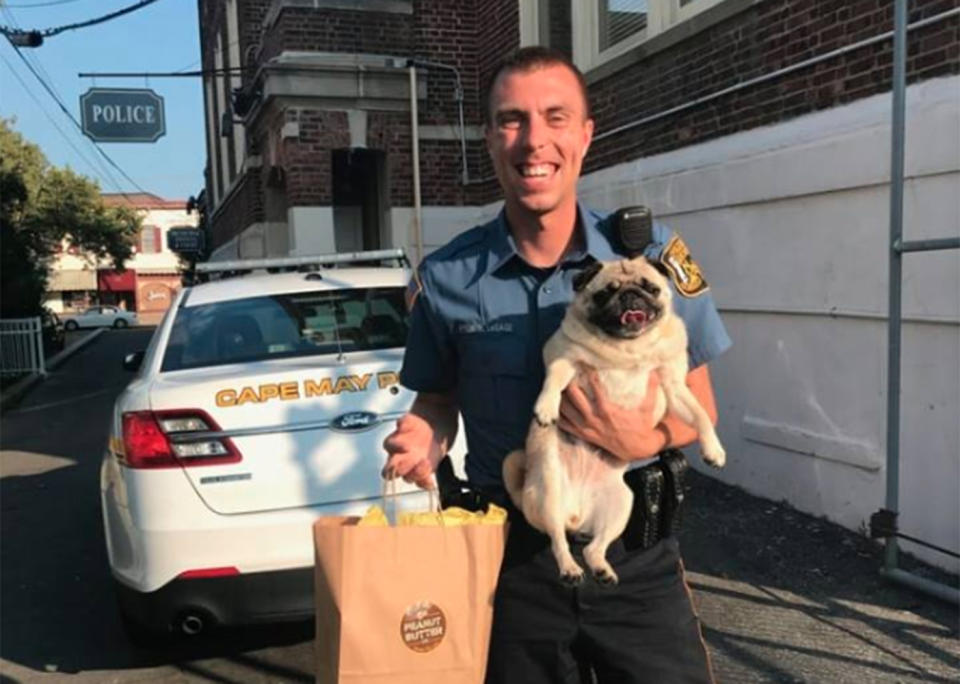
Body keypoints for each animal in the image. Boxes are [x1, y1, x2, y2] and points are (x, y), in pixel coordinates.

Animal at [502, 254, 720, 584]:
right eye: (605, 293)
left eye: (650, 288)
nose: (630, 295)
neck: (627, 347)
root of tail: (576, 514)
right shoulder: (565, 358)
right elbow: (553, 379)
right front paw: (546, 408)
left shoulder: (674, 386)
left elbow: (700, 415)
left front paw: (714, 450)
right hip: (549, 491)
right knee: (558, 541)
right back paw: (570, 569)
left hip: (621, 504)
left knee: (594, 548)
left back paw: (602, 570)